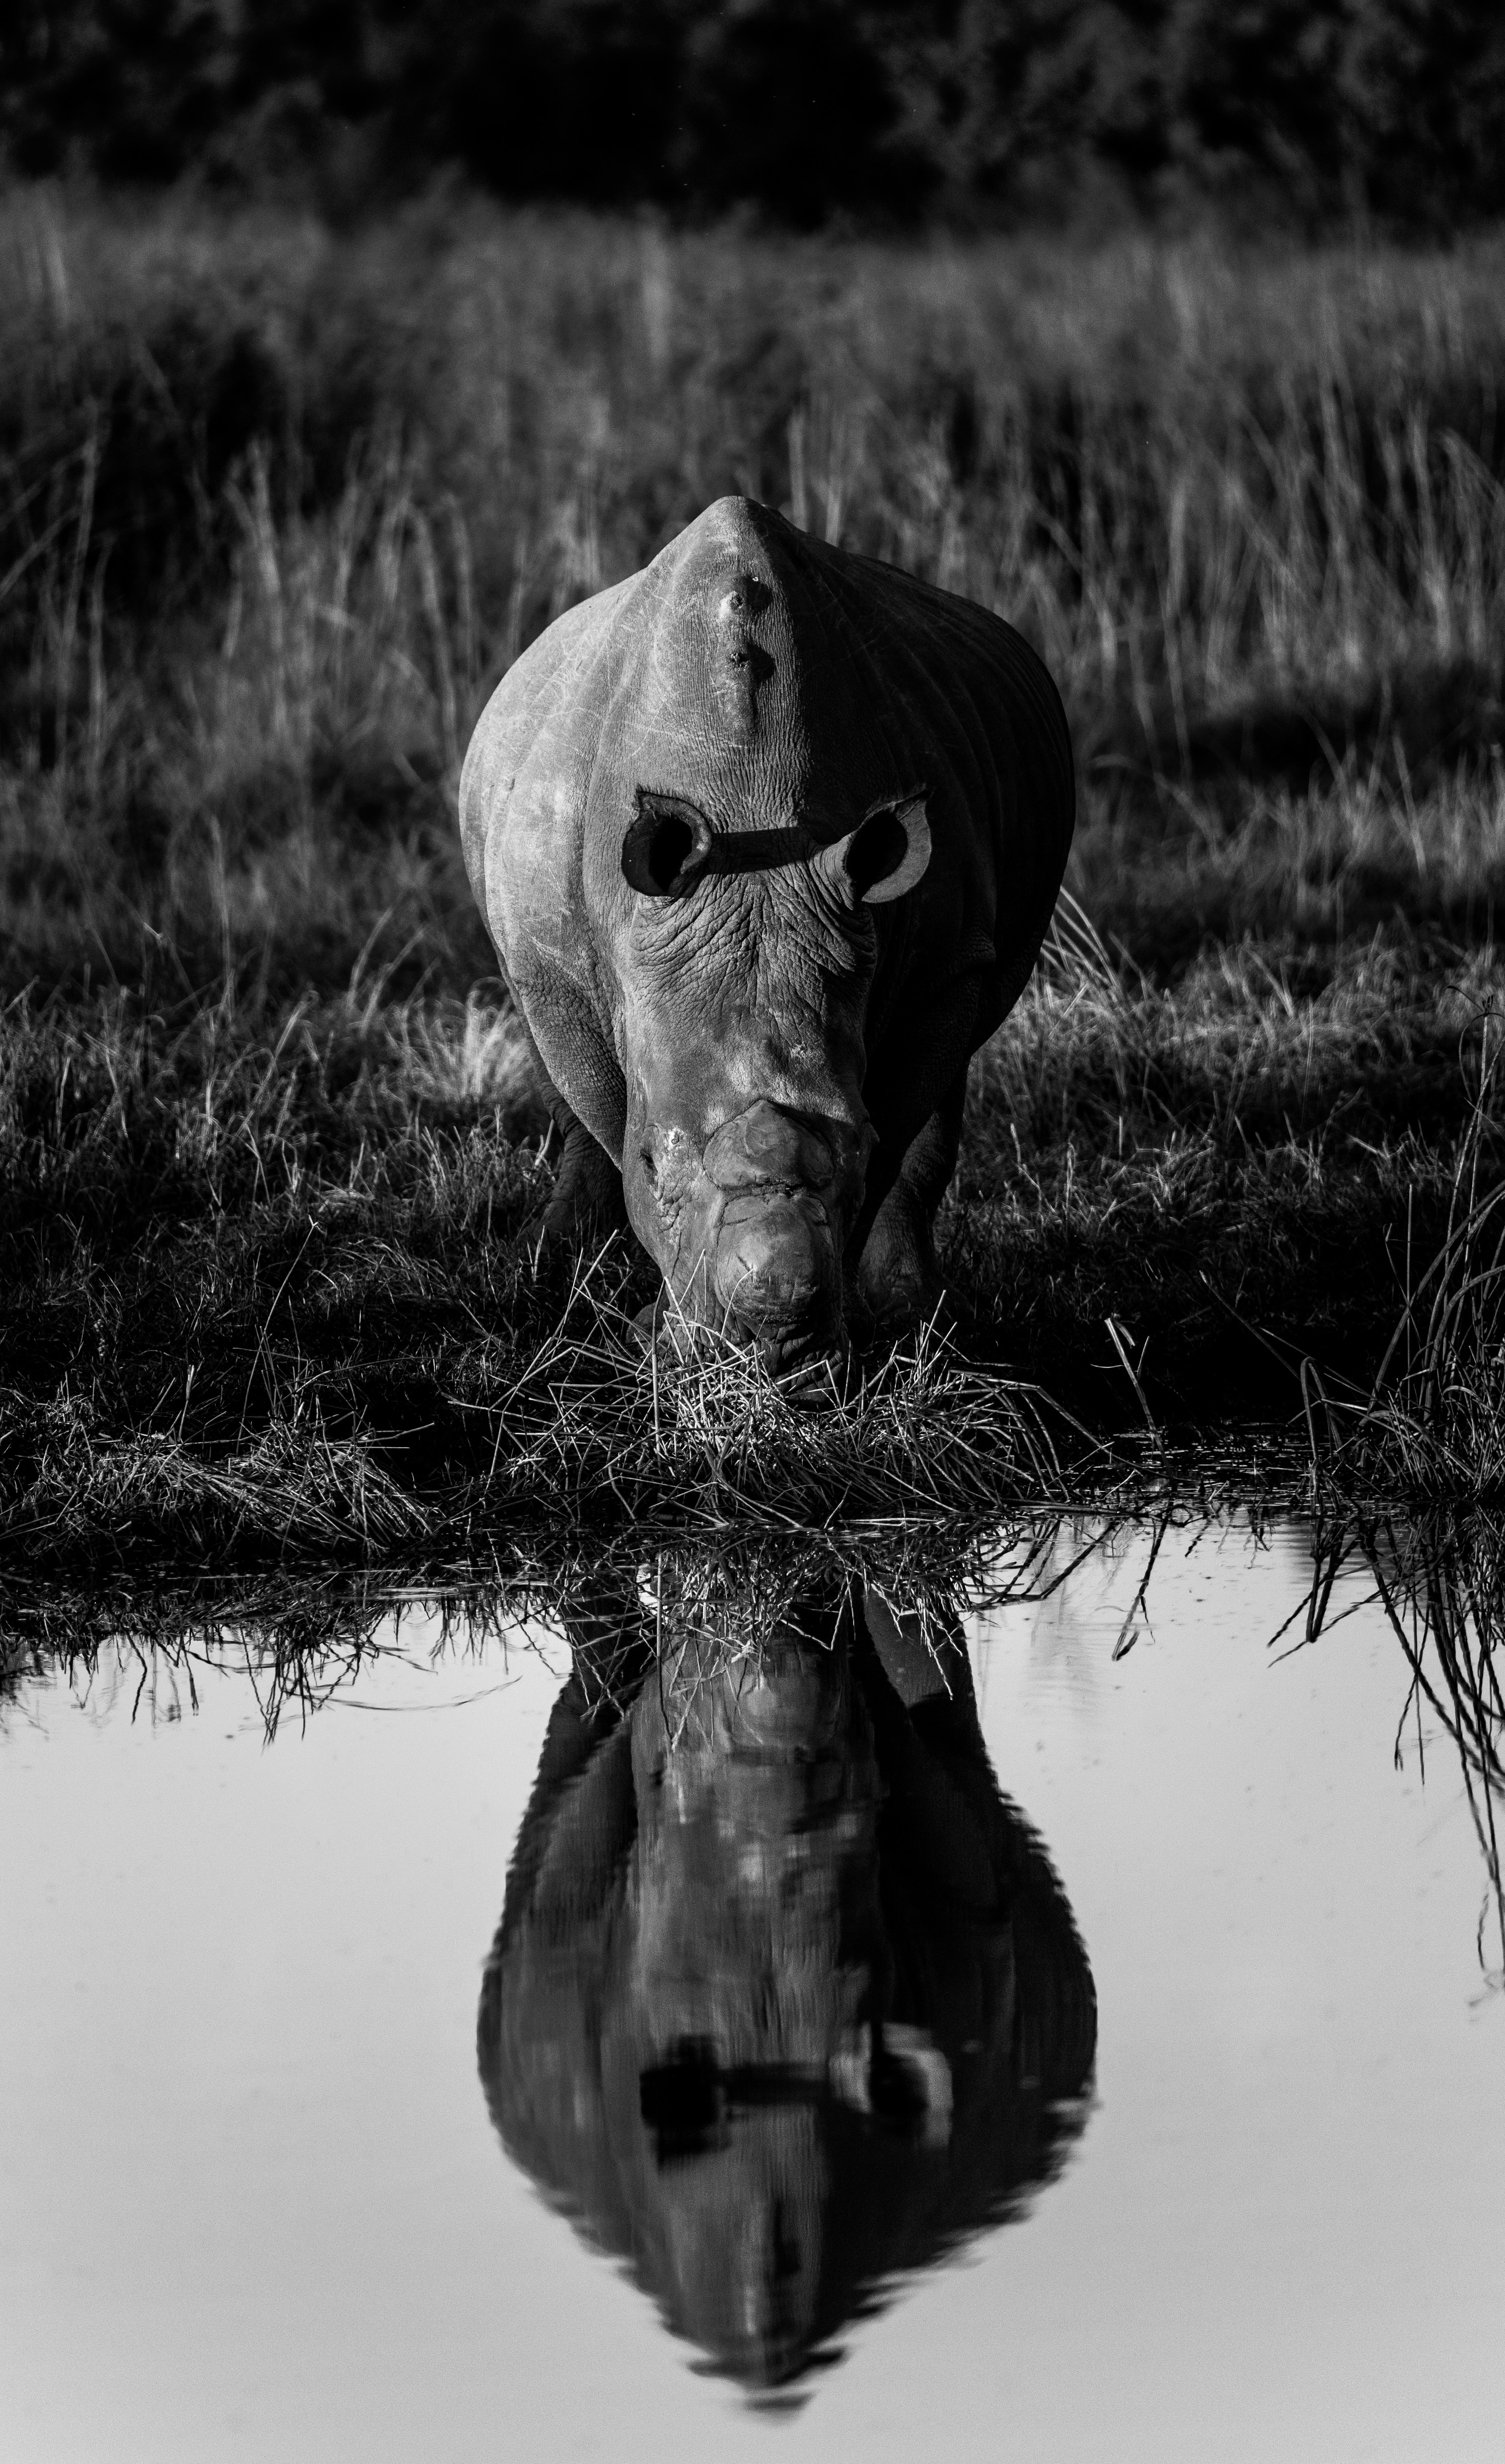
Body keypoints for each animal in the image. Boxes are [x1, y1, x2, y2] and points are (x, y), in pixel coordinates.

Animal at [458, 490, 1074, 1360]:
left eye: (859, 1145)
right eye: (654, 1163)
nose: (773, 1339)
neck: (751, 806)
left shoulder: (944, 961)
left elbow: (900, 1133)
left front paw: (873, 1329)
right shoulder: (551, 963)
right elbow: (604, 1113)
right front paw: (657, 1338)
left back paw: (919, 1315)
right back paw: (550, 1264)